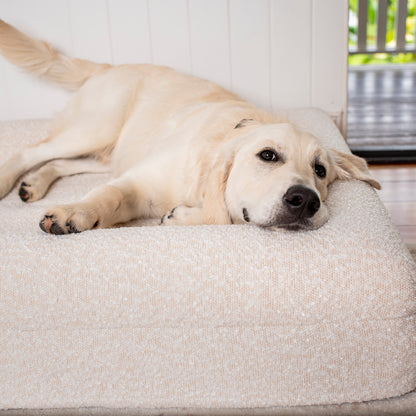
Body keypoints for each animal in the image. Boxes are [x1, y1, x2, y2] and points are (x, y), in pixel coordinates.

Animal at [0, 20, 380, 234]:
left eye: (320, 170)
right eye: (268, 155)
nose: (305, 202)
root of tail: (109, 65)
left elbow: (221, 218)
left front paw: (181, 216)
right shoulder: (137, 181)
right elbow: (108, 194)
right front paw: (76, 213)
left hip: (113, 151)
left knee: (61, 163)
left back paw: (34, 183)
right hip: (96, 129)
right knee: (31, 151)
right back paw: (10, 180)